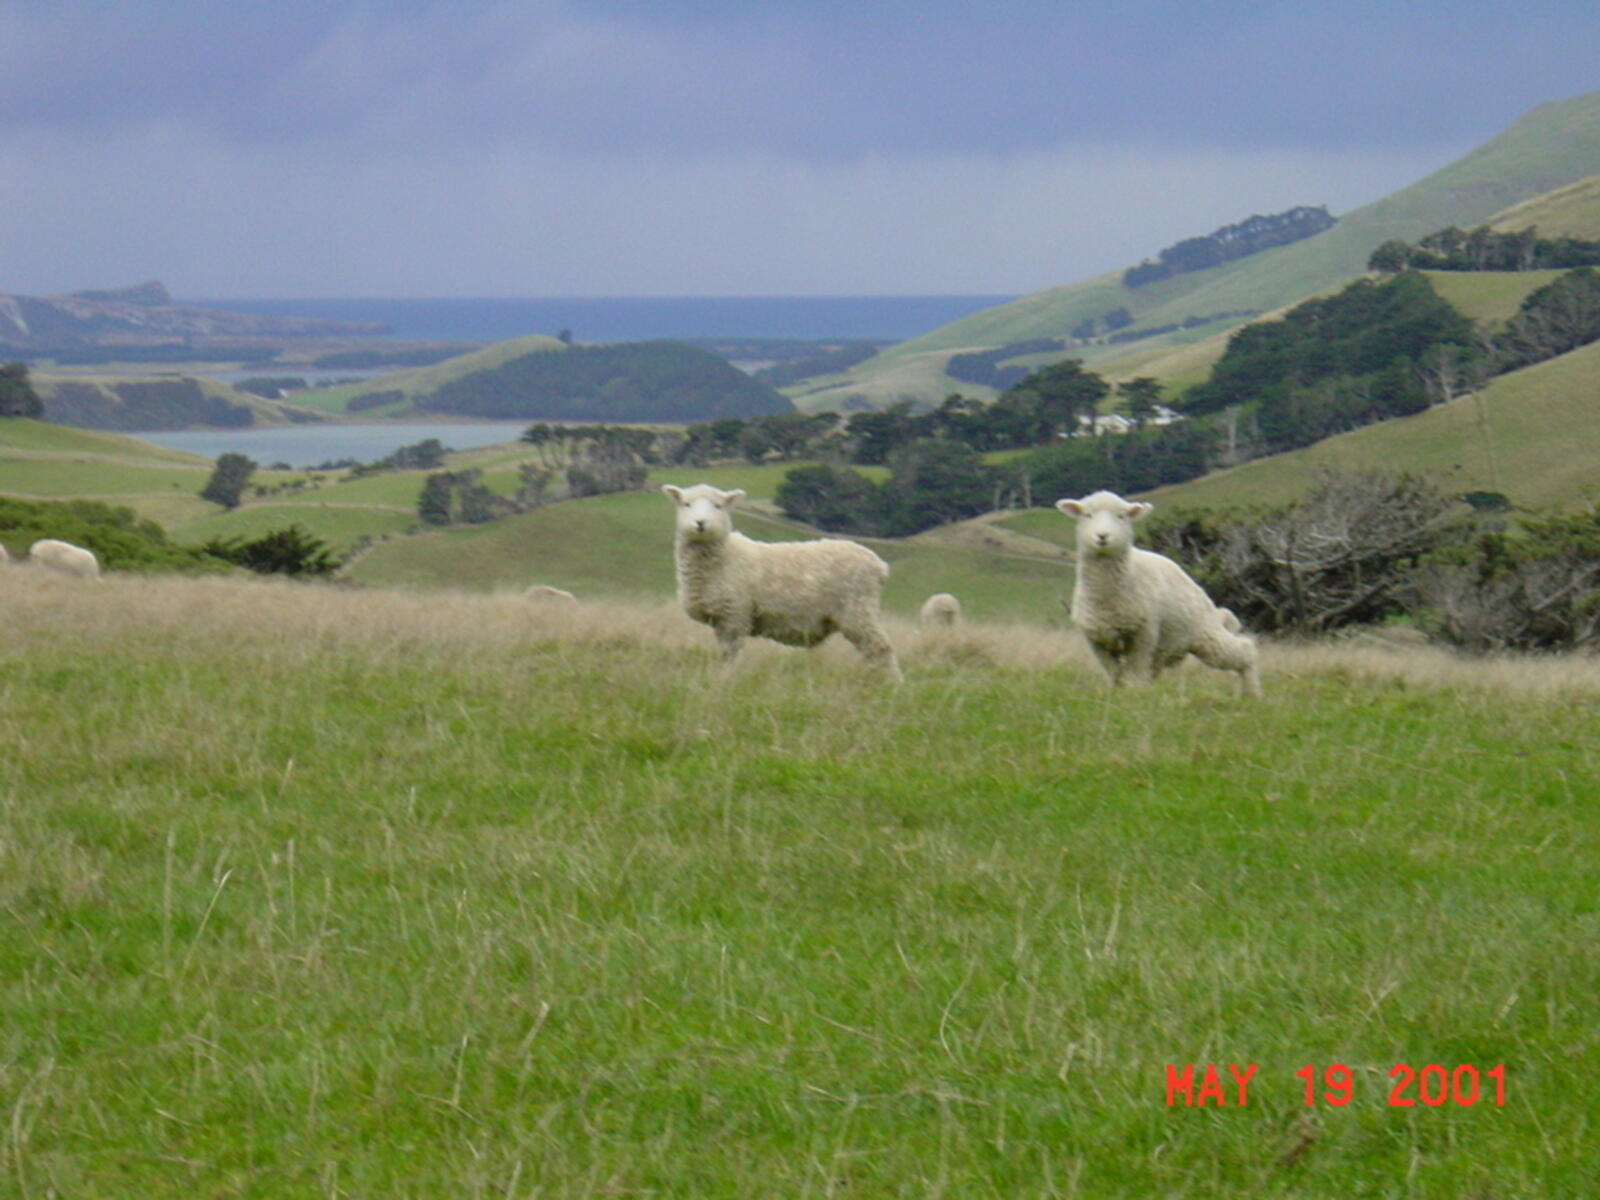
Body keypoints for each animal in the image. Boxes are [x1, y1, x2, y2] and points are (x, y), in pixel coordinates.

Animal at [662, 482, 902, 680]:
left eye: (718, 506)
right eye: (686, 504)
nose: (700, 523)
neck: (726, 557)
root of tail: (880, 565)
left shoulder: (734, 615)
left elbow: (729, 655)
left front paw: (724, 681)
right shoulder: (723, 618)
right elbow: (724, 654)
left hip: (858, 609)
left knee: (880, 648)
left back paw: (892, 685)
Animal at [1056, 490, 1260, 697]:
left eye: (1121, 516)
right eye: (1087, 515)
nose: (1102, 536)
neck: (1107, 599)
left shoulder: (1143, 634)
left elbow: (1135, 671)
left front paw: (1134, 694)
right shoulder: (1096, 639)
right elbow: (1113, 673)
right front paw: (1117, 693)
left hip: (1205, 635)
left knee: (1245, 650)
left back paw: (1252, 694)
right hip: (1165, 648)